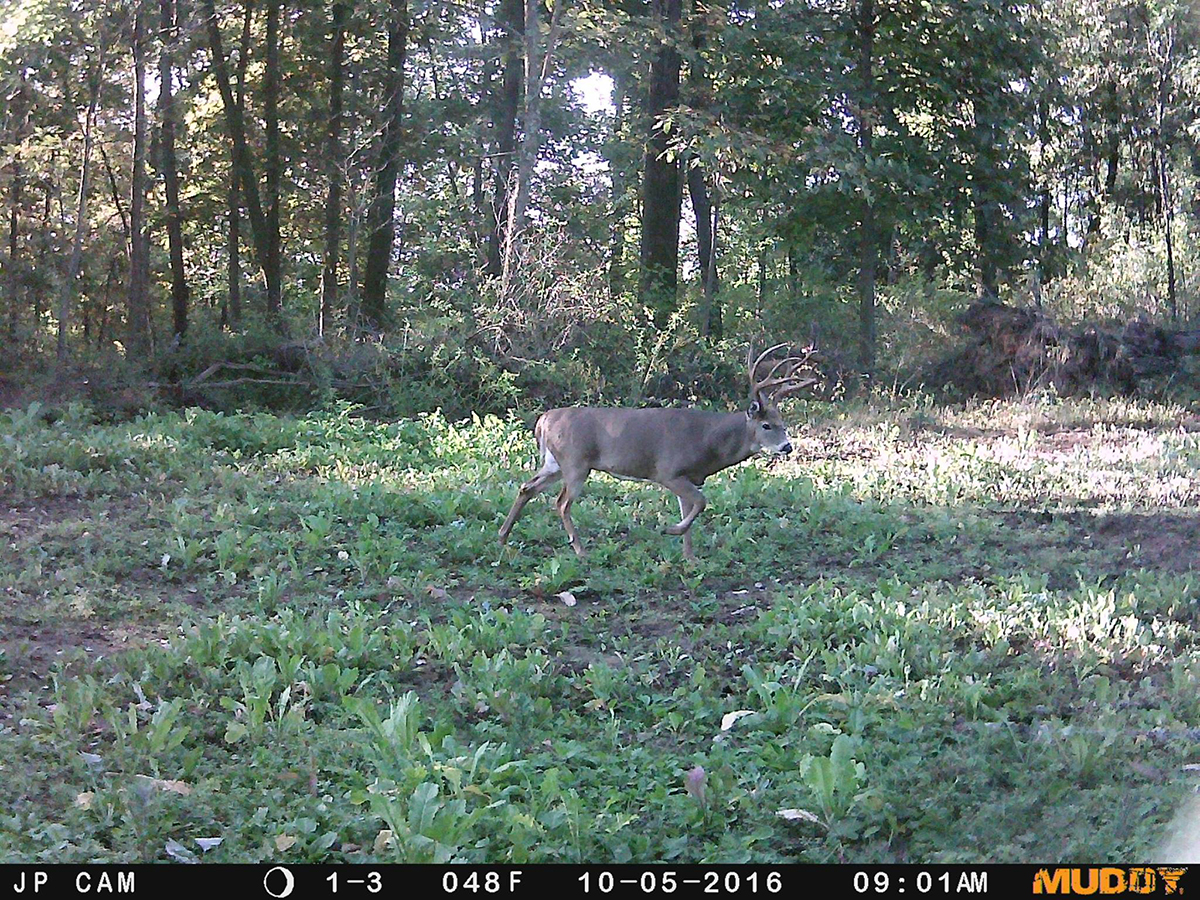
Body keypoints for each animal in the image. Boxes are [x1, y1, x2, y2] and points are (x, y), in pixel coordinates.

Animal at [494, 343, 816, 561]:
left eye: (784, 424)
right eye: (766, 425)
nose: (787, 446)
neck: (709, 442)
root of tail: (544, 419)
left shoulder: (691, 477)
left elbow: (692, 509)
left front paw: (689, 557)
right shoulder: (668, 471)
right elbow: (701, 503)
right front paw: (671, 531)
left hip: (554, 462)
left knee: (527, 487)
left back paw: (503, 535)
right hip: (576, 462)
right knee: (561, 503)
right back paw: (580, 550)